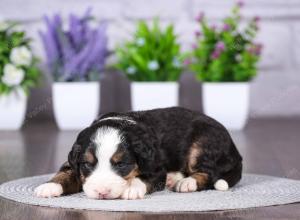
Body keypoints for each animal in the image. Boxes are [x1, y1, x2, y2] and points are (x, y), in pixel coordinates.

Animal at [34, 106, 241, 199]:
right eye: (87, 164)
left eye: (121, 164)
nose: (102, 192)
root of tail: (236, 151)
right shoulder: (74, 160)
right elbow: (66, 172)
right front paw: (50, 186)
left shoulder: (157, 167)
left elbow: (145, 178)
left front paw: (132, 188)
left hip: (202, 142)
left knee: (209, 172)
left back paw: (186, 183)